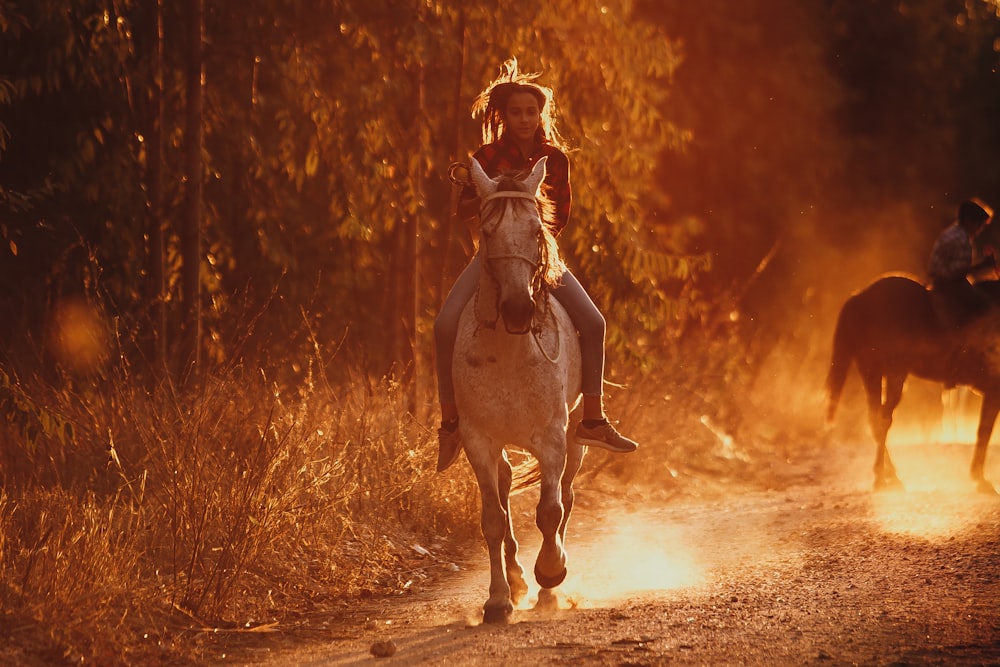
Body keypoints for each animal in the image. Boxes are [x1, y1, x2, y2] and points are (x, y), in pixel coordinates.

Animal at [456, 158, 584, 628]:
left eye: (535, 229)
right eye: (488, 231)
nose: (517, 310)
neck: (510, 353)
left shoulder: (551, 437)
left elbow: (549, 510)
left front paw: (551, 573)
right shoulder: (479, 441)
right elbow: (493, 520)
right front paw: (498, 600)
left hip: (578, 433)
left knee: (566, 496)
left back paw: (547, 587)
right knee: (508, 485)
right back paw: (515, 581)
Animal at [828, 272, 1000, 496]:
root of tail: (861, 297)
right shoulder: (994, 391)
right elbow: (984, 432)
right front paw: (980, 479)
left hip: (873, 373)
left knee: (875, 420)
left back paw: (890, 477)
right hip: (891, 372)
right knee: (883, 420)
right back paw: (881, 479)